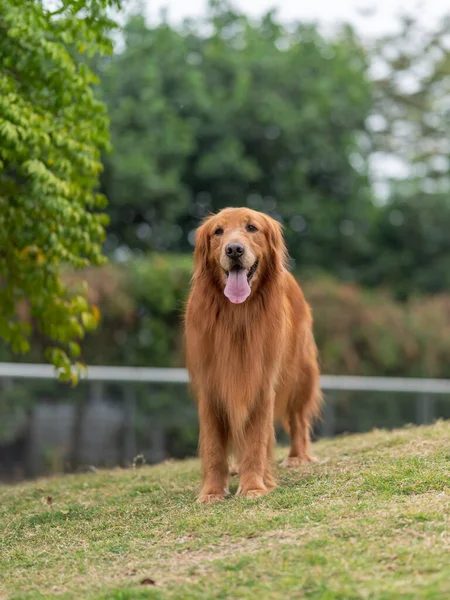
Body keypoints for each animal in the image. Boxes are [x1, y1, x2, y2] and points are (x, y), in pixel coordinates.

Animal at [185, 207, 322, 502]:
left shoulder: (260, 383)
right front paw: (212, 492)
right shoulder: (211, 385)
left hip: (300, 374)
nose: (234, 249)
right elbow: (213, 447)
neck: (236, 314)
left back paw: (298, 457)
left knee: (298, 418)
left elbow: (256, 441)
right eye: (218, 231)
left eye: (251, 228)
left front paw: (253, 487)